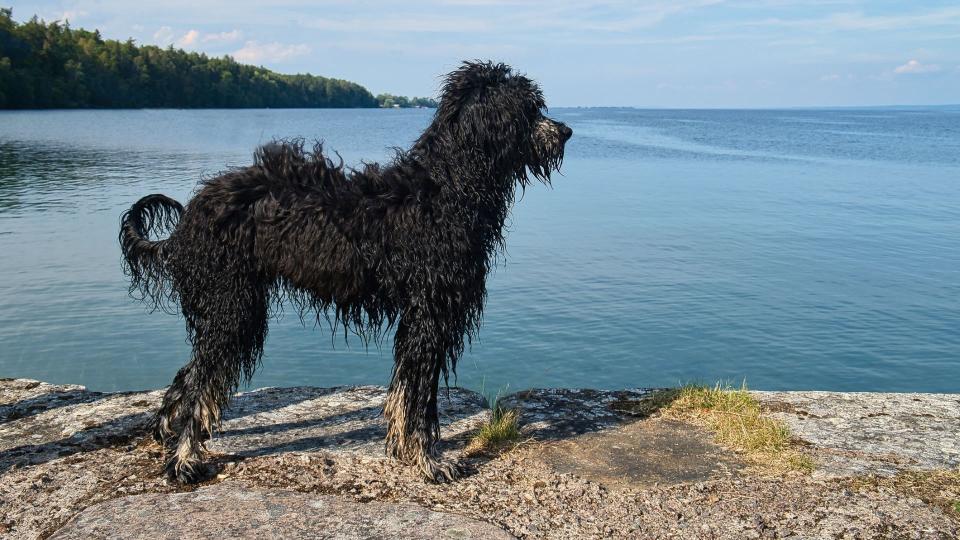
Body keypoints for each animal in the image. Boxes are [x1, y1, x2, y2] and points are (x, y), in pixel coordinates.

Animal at [119, 61, 568, 484]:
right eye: (528, 109)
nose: (566, 131)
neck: (445, 191)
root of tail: (188, 219)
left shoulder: (419, 318)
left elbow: (403, 393)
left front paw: (402, 450)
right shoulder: (431, 313)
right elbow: (420, 400)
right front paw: (429, 461)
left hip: (229, 306)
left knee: (191, 372)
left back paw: (164, 430)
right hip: (233, 305)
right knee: (201, 384)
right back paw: (183, 459)